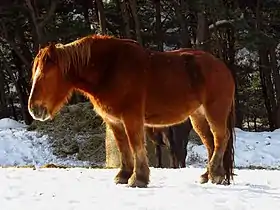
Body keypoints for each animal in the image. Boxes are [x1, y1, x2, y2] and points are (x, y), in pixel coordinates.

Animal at [28, 34, 235, 189]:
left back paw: (216, 174)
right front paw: (123, 175)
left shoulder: (131, 117)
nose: (34, 109)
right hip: (198, 115)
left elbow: (135, 146)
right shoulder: (114, 121)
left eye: (45, 75)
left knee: (220, 138)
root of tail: (223, 68)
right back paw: (208, 175)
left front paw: (139, 178)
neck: (109, 68)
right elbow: (123, 147)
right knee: (210, 142)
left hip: (214, 111)